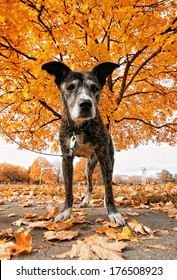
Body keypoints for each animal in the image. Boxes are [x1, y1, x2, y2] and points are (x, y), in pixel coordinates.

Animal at [41, 61, 124, 225]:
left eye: (94, 88)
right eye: (70, 87)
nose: (85, 103)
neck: (79, 128)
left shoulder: (104, 157)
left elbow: (109, 189)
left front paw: (113, 212)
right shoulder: (66, 157)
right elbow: (68, 188)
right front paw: (65, 211)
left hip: (105, 162)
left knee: (103, 183)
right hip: (88, 167)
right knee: (90, 185)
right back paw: (85, 201)